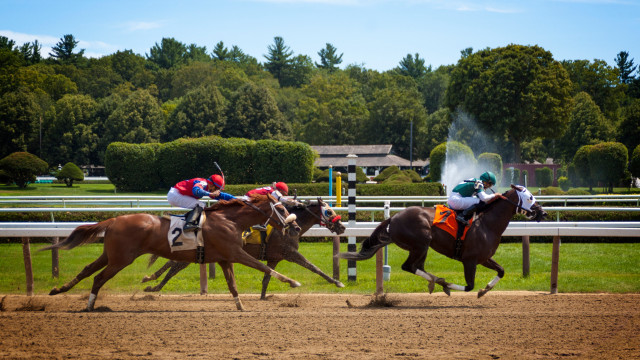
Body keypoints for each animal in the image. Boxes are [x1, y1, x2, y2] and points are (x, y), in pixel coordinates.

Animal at [42, 194, 300, 312]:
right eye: (281, 208)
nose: (296, 227)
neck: (230, 221)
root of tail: (114, 219)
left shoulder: (226, 258)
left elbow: (233, 285)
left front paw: (240, 306)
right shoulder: (236, 253)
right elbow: (264, 267)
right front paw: (293, 282)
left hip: (111, 255)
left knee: (87, 270)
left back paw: (58, 290)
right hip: (121, 259)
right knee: (98, 277)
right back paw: (89, 305)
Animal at [142, 197, 348, 298]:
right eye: (329, 212)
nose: (342, 227)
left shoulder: (274, 257)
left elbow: (267, 278)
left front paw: (263, 297)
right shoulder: (289, 253)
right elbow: (315, 268)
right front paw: (337, 282)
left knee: (173, 264)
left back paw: (151, 280)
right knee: (174, 267)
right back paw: (154, 285)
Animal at [338, 184, 548, 296]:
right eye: (530, 198)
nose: (543, 212)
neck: (487, 223)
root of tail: (394, 217)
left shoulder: (483, 258)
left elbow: (501, 271)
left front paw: (485, 290)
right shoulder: (470, 260)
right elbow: (469, 286)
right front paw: (451, 286)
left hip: (422, 247)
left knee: (417, 267)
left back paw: (436, 281)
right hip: (421, 243)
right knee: (409, 266)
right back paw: (439, 282)